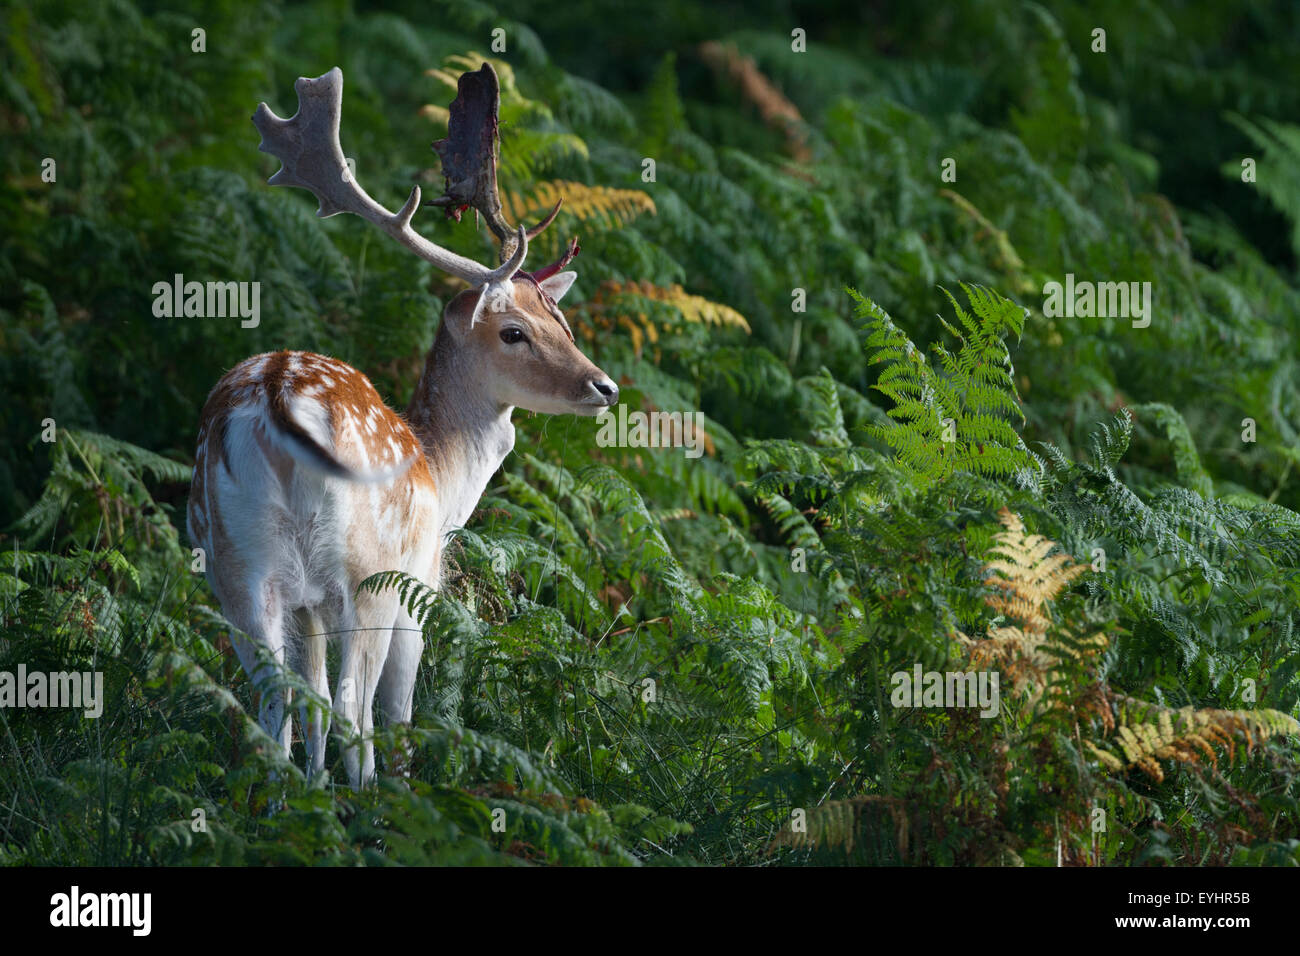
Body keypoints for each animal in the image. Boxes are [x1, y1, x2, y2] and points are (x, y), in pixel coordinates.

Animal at [186, 65, 617, 787]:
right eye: (514, 331)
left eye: (561, 321)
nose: (604, 387)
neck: (444, 477)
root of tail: (275, 401)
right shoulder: (421, 583)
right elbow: (397, 710)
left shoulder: (300, 603)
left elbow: (307, 696)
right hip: (367, 575)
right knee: (351, 709)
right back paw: (364, 799)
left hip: (236, 566)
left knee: (277, 700)